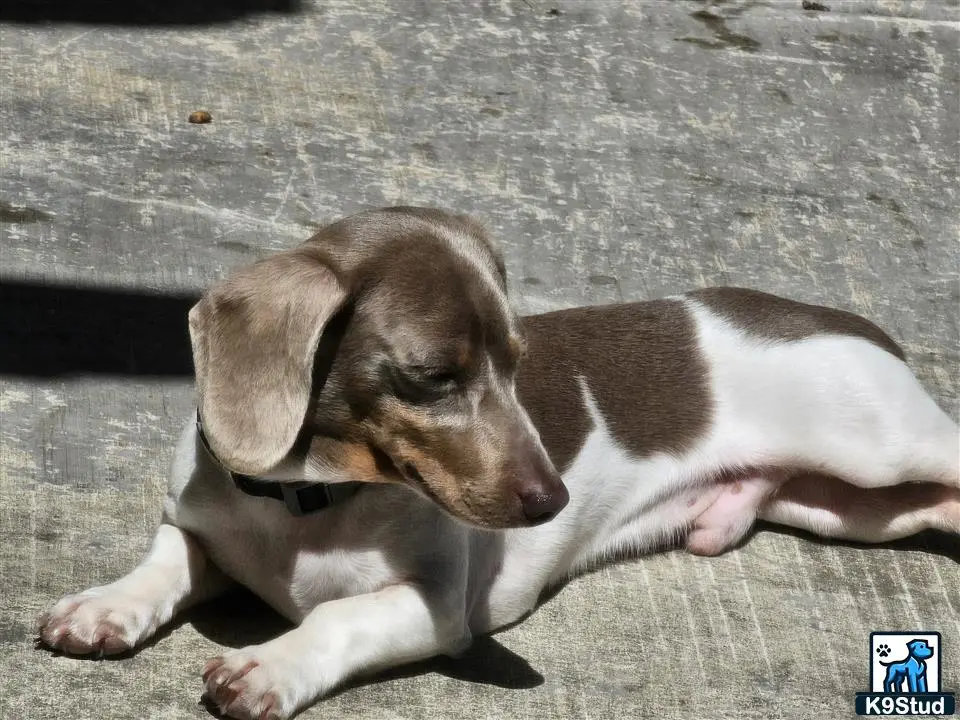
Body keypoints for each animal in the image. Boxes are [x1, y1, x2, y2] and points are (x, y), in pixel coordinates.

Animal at [39, 205, 960, 716]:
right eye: (434, 378)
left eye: (520, 364)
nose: (554, 501)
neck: (311, 503)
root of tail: (844, 320)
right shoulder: (196, 525)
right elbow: (164, 563)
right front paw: (105, 607)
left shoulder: (436, 607)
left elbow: (335, 617)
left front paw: (271, 664)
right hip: (850, 510)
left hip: (877, 449)